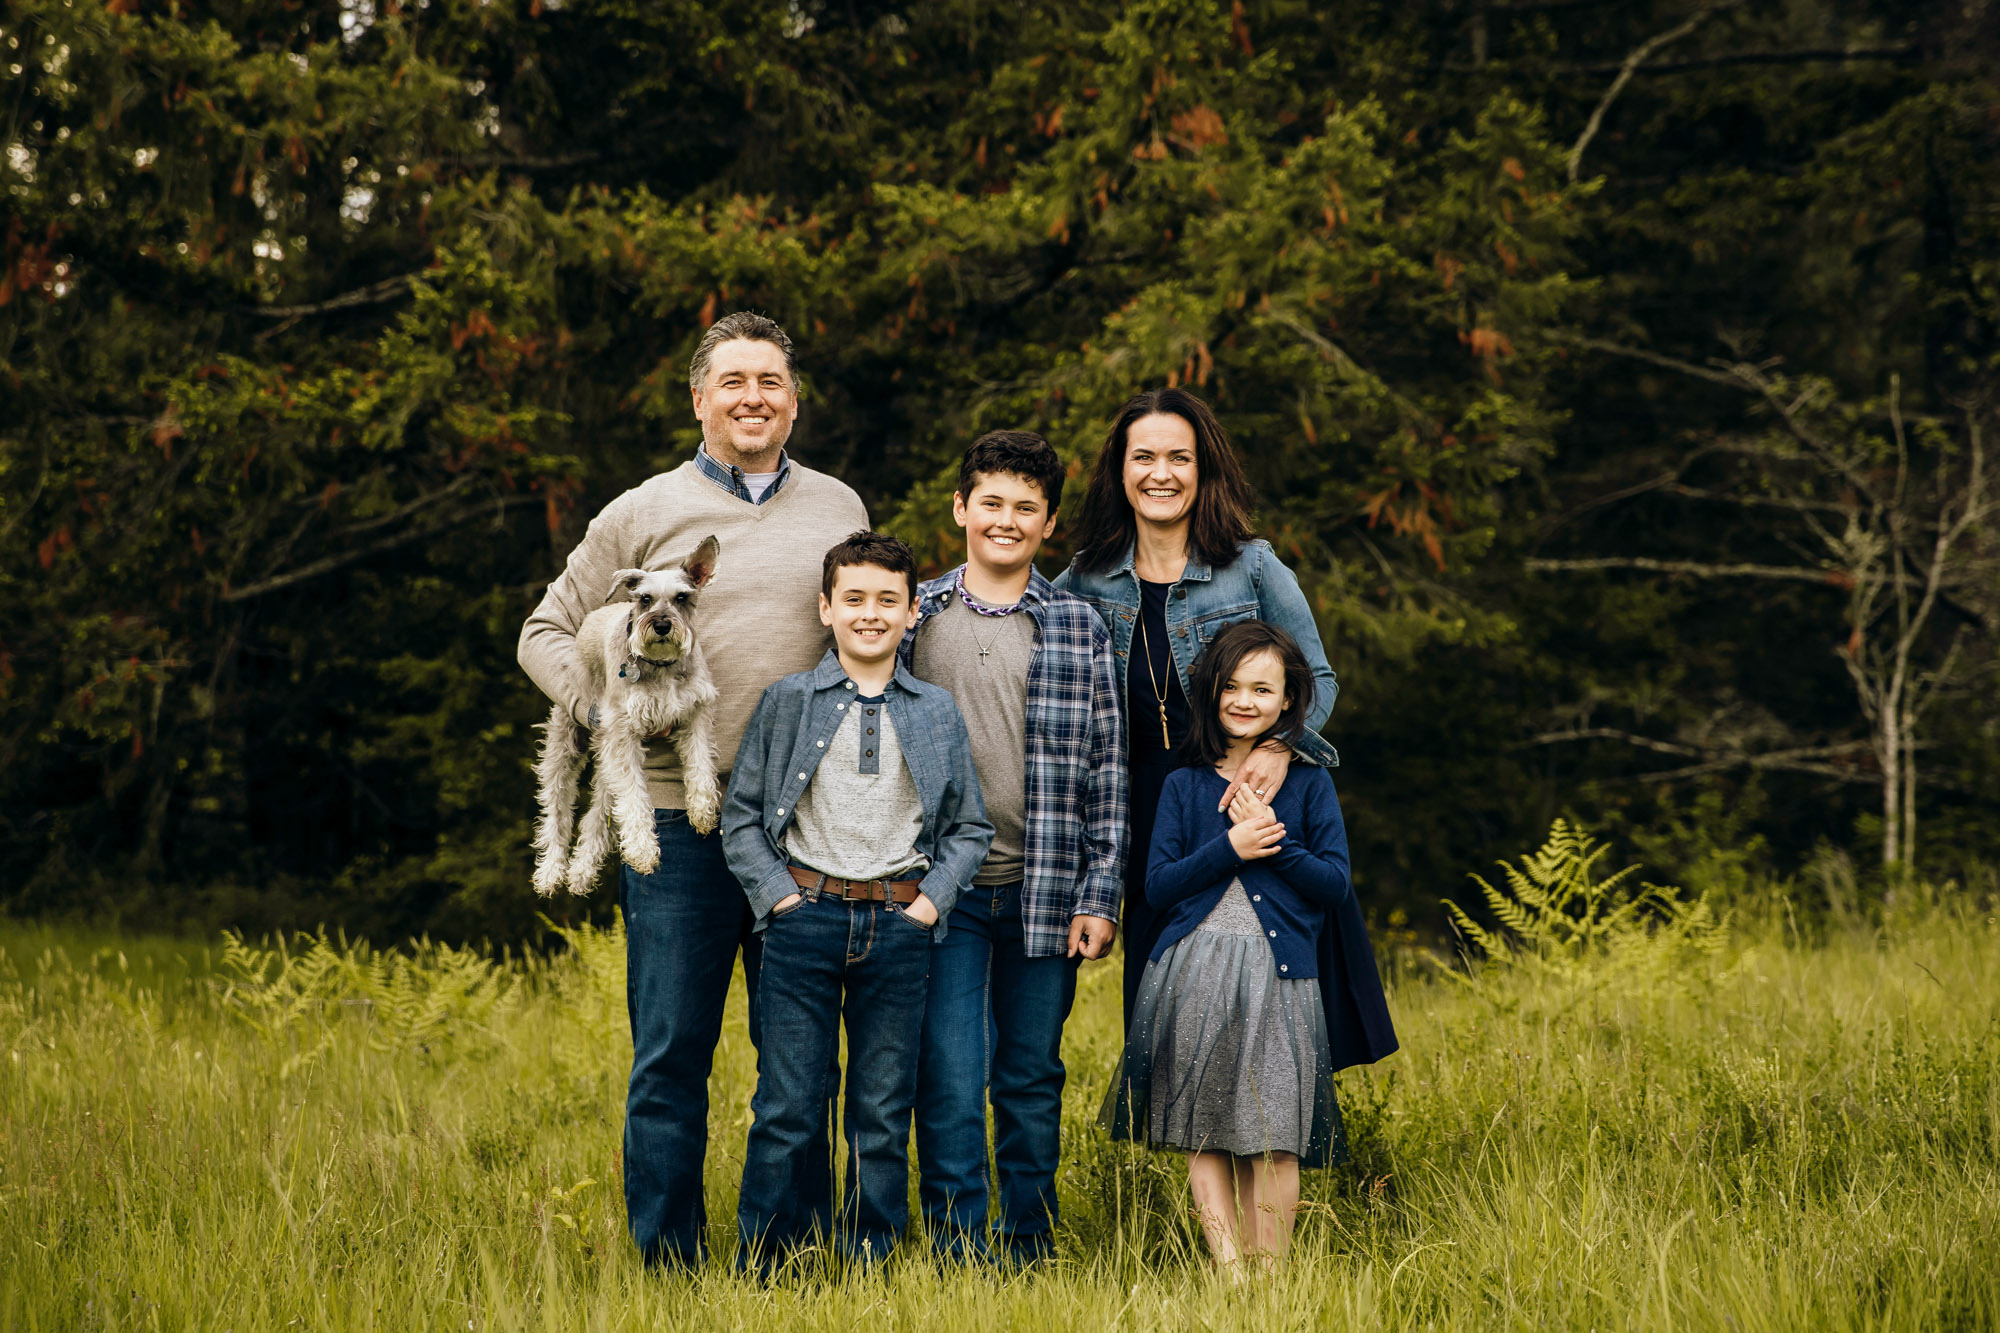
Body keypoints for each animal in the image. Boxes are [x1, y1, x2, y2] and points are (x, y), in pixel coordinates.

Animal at [528, 532, 724, 892]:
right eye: (645, 598)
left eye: (682, 597)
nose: (661, 625)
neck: (661, 666)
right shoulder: (622, 732)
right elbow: (634, 799)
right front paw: (643, 852)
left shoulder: (695, 714)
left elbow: (701, 765)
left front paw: (703, 812)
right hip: (567, 742)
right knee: (557, 807)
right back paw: (551, 871)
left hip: (604, 754)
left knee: (598, 811)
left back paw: (582, 871)